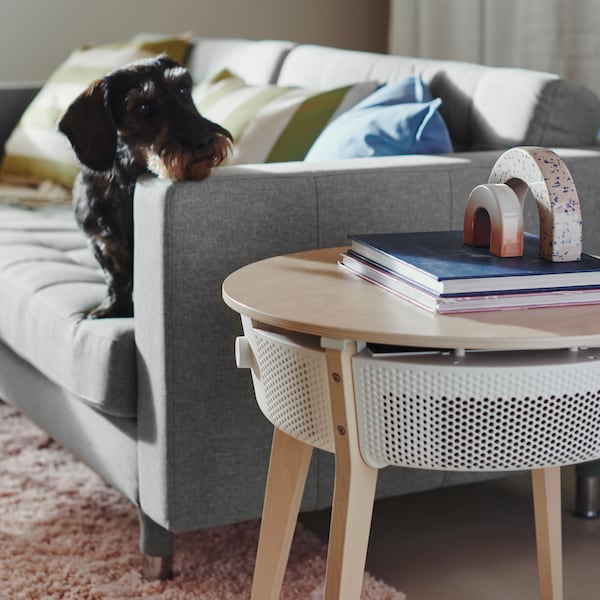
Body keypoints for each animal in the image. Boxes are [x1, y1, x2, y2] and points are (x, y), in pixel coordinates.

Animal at [58, 55, 231, 318]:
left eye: (183, 89)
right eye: (141, 107)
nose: (205, 142)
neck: (127, 185)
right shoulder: (101, 242)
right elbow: (116, 277)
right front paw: (112, 308)